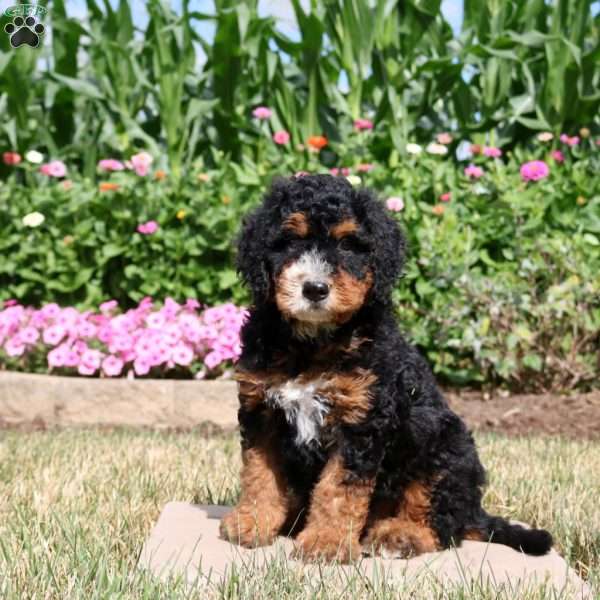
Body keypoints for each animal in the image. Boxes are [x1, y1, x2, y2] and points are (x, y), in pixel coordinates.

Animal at [220, 173, 552, 564]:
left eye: (348, 245)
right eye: (289, 242)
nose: (314, 288)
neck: (311, 344)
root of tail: (475, 513)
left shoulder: (361, 419)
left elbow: (339, 488)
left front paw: (326, 542)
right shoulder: (261, 409)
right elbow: (260, 473)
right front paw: (252, 522)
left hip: (444, 448)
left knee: (441, 522)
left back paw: (400, 535)